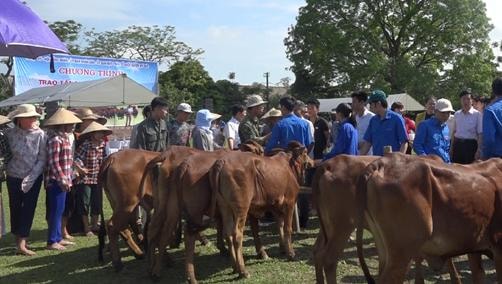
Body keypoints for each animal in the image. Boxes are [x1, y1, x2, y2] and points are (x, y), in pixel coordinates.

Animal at [207, 141, 310, 278]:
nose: (310, 161)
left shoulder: (275, 205)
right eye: (305, 153)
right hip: (241, 208)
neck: (288, 165)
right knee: (237, 235)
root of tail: (222, 162)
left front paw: (283, 248)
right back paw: (243, 271)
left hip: (225, 207)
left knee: (228, 234)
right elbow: (287, 228)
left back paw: (235, 268)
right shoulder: (290, 202)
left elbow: (280, 225)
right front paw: (291, 253)